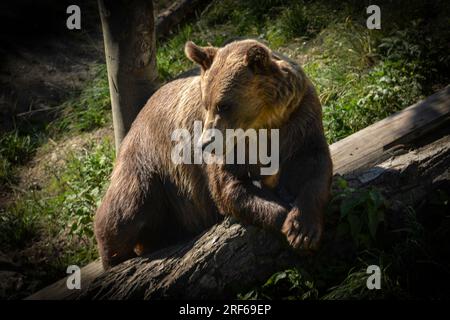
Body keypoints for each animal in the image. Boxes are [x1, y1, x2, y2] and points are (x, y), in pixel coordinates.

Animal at [95, 40, 332, 270]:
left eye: (224, 105)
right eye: (206, 103)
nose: (205, 144)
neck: (264, 124)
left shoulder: (299, 121)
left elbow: (316, 167)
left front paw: (303, 228)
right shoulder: (229, 153)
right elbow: (230, 189)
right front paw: (289, 224)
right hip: (150, 165)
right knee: (127, 209)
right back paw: (114, 258)